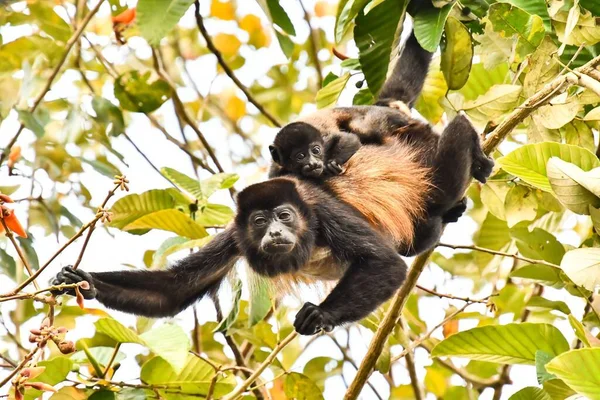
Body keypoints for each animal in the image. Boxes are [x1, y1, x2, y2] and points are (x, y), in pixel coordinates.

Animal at [51, 25, 492, 334]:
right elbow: (173, 289)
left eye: (284, 216)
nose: (275, 232)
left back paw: (472, 158)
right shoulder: (236, 234)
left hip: (417, 142)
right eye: (260, 221)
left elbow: (383, 264)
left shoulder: (321, 210)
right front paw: (82, 282)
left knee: (452, 137)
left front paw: (321, 314)